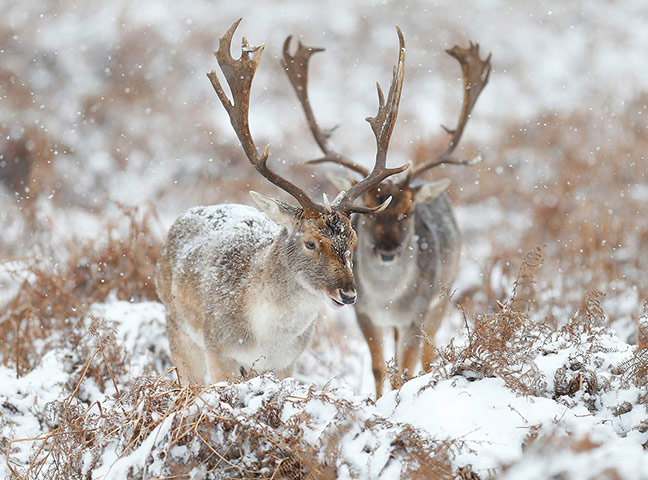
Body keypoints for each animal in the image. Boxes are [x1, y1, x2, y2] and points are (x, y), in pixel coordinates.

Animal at [154, 19, 410, 386]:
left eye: (353, 241)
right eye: (310, 243)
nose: (348, 294)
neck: (265, 337)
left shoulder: (288, 361)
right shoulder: (219, 351)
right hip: (177, 328)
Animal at [282, 35, 491, 396]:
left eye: (408, 211)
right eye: (369, 214)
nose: (388, 251)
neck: (387, 300)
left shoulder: (417, 312)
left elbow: (404, 370)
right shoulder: (364, 313)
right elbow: (380, 368)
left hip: (443, 295)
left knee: (428, 355)